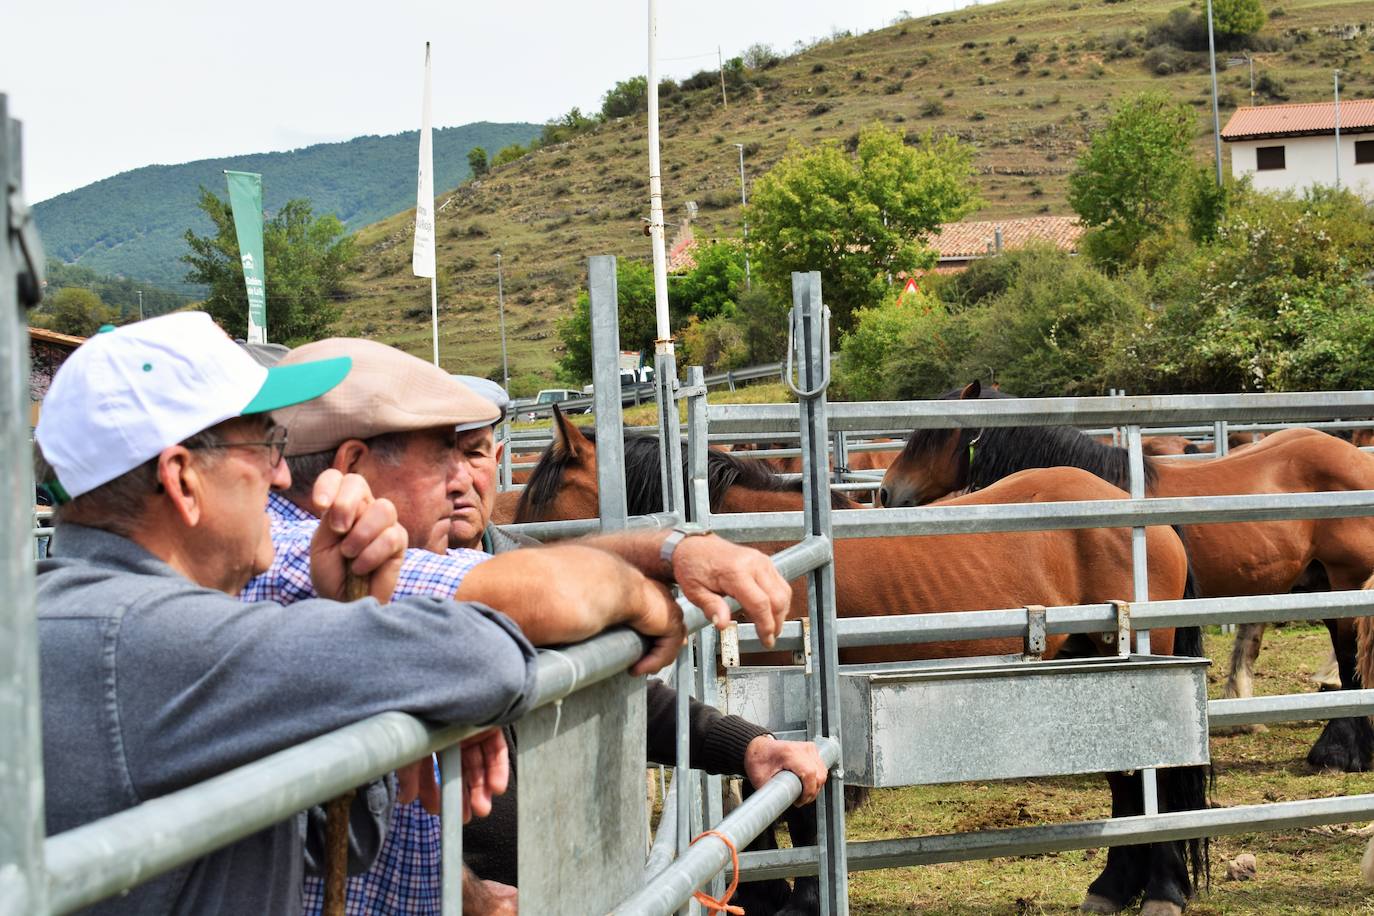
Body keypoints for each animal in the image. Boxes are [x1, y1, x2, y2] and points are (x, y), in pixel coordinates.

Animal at [513, 411, 1203, 916]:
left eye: (540, 516)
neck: (763, 555)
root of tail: (1141, 515)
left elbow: (796, 807)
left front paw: (798, 898)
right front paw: (768, 893)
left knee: (1159, 777)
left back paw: (1163, 892)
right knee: (1125, 779)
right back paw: (1113, 888)